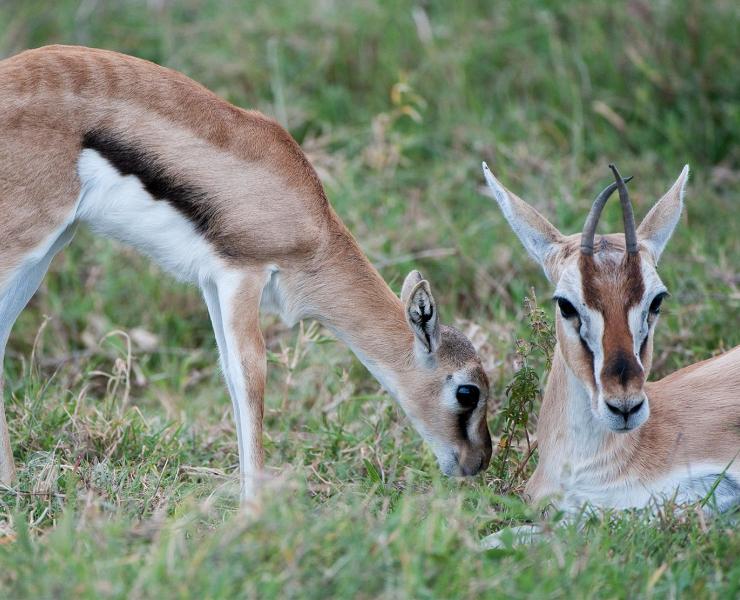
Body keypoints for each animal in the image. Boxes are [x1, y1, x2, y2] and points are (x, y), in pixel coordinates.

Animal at [0, 45, 493, 500]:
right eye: (468, 391)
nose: (479, 461)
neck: (310, 220)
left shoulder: (211, 282)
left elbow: (229, 376)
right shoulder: (243, 274)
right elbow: (251, 376)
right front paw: (252, 507)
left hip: (45, 251)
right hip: (24, 244)